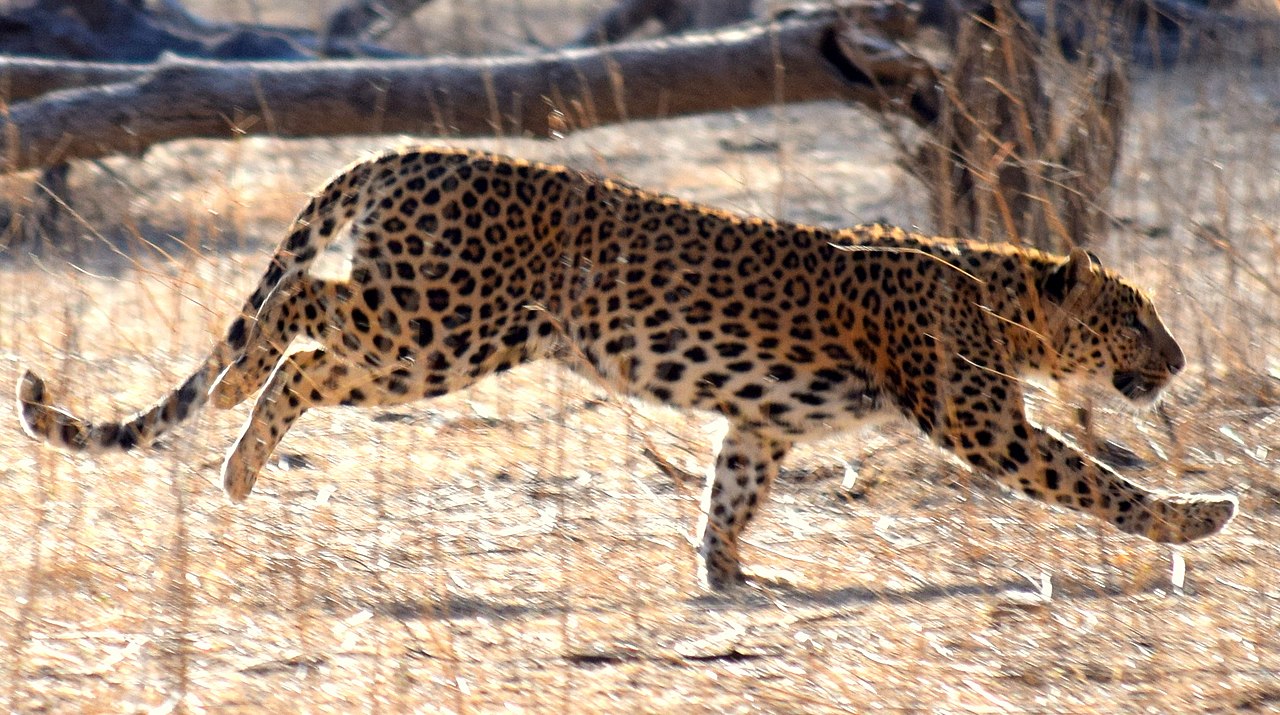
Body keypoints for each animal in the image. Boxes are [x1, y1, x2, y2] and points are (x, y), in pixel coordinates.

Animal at [15, 143, 1239, 588]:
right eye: (1134, 316)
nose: (1177, 357)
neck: (995, 288)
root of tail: (402, 149)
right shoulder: (976, 417)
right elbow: (1092, 477)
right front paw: (1200, 517)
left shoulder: (762, 423)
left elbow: (727, 495)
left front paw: (726, 578)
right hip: (446, 327)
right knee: (300, 322)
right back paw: (235, 443)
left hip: (431, 333)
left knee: (296, 338)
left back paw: (231, 441)